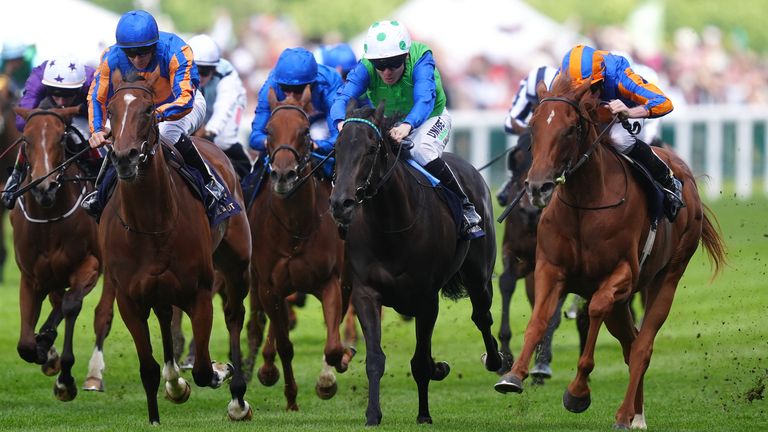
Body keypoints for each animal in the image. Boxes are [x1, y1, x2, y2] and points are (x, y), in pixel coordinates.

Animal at [10, 106, 115, 400]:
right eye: (26, 140)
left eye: (61, 139)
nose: (44, 187)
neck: (49, 221)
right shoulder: (30, 277)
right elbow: (24, 344)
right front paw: (44, 349)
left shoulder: (89, 265)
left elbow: (71, 305)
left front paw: (65, 379)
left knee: (102, 314)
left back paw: (93, 374)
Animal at [99, 71, 252, 426]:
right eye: (110, 110)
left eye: (148, 109)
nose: (124, 157)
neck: (151, 222)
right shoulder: (129, 299)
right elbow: (148, 368)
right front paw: (157, 414)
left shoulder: (199, 293)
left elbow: (202, 369)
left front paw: (220, 370)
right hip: (159, 289)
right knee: (165, 317)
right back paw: (175, 384)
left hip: (237, 263)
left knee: (234, 315)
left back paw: (238, 399)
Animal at [249, 87, 352, 408]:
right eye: (269, 130)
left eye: (305, 131)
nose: (284, 175)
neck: (295, 227)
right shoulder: (269, 286)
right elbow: (285, 344)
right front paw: (290, 397)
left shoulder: (331, 282)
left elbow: (332, 345)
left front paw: (329, 377)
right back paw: (267, 367)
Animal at [330, 104, 504, 426]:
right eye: (337, 148)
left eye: (371, 149)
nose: (340, 203)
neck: (391, 226)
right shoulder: (366, 293)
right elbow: (375, 358)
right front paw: (372, 414)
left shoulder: (426, 299)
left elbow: (420, 362)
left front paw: (424, 413)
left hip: (479, 275)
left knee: (482, 316)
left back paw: (497, 360)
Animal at [492, 71, 728, 428]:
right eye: (534, 128)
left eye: (571, 128)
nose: (538, 188)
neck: (584, 204)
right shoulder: (548, 267)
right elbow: (539, 318)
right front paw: (514, 374)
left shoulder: (622, 276)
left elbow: (594, 310)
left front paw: (577, 393)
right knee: (631, 343)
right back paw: (636, 414)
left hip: (666, 278)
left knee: (642, 346)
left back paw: (625, 414)